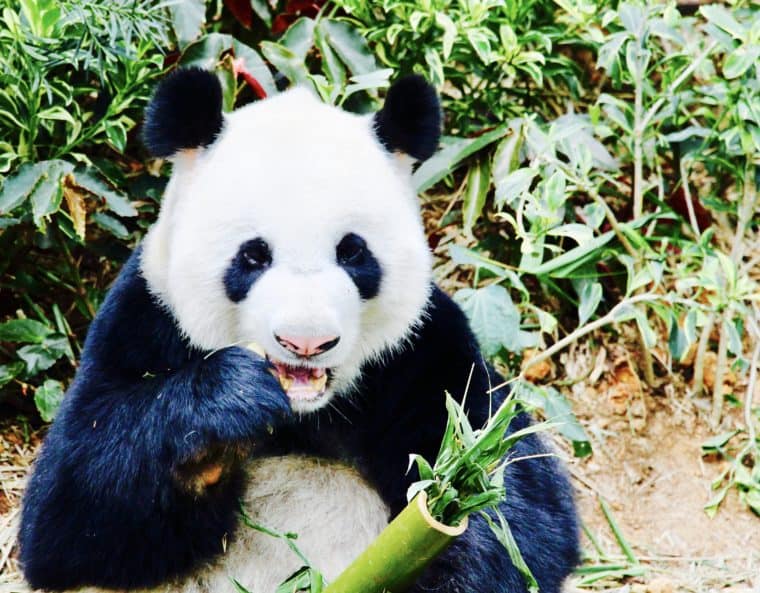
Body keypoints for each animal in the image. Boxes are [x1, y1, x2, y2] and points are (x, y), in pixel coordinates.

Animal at [17, 69, 580, 592]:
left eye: (352, 252)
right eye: (253, 255)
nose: (306, 342)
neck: (304, 410)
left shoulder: (421, 354)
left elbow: (514, 498)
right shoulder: (145, 317)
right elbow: (69, 511)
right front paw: (227, 411)